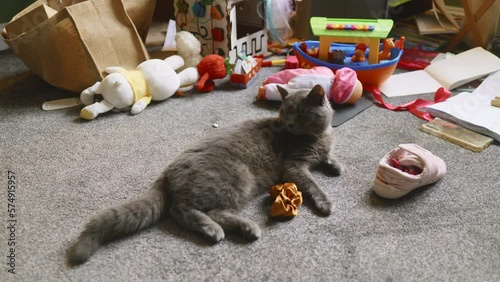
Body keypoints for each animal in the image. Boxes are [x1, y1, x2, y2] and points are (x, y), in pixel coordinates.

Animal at [68, 85, 342, 266]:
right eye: (284, 111)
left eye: (301, 113)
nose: (287, 124)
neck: (319, 136)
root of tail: (167, 171)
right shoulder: (293, 167)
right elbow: (313, 184)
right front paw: (326, 203)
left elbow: (329, 158)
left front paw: (335, 166)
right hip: (238, 178)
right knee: (186, 210)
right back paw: (229, 229)